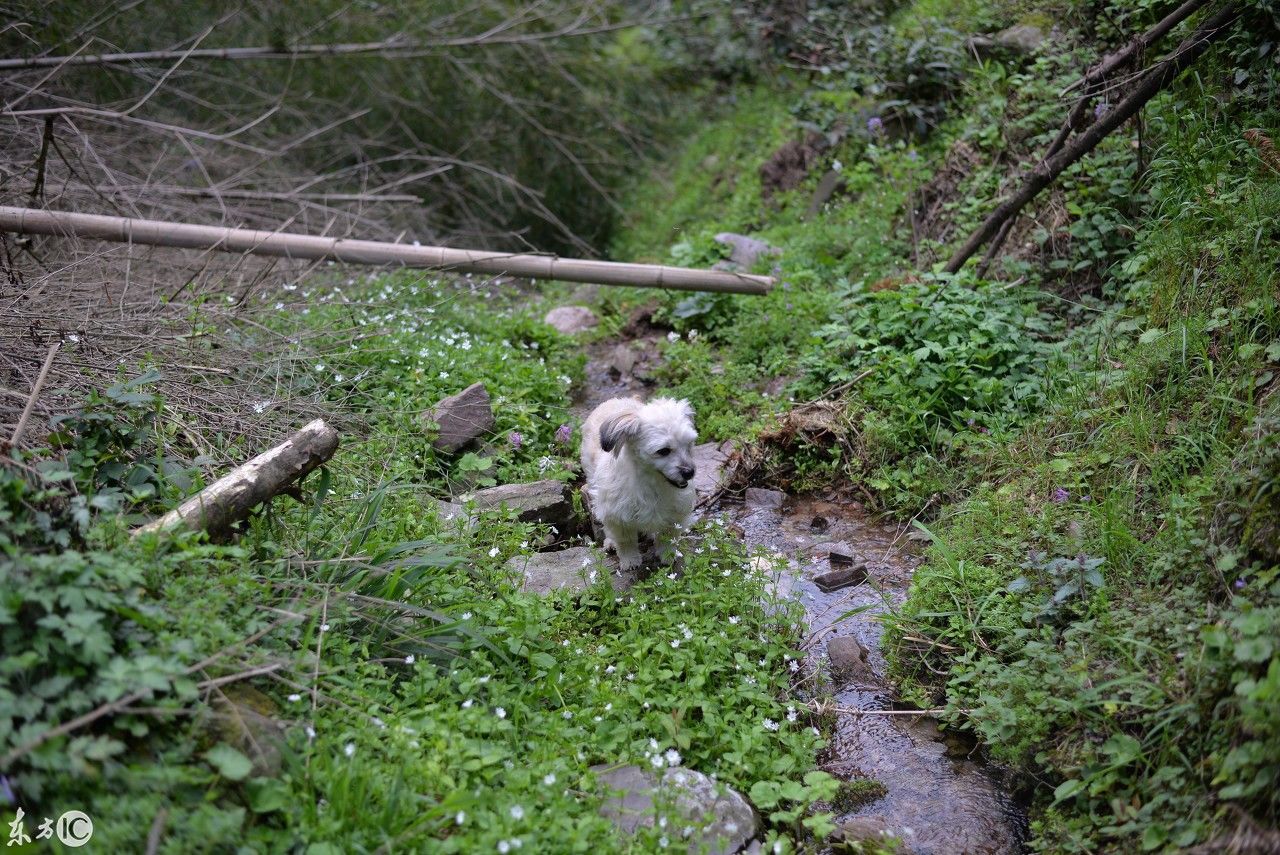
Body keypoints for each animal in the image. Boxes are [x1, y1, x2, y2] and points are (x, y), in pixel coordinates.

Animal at [583, 396, 701, 570]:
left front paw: (667, 556)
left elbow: (668, 537)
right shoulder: (616, 516)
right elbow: (625, 541)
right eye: (663, 451)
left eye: (689, 444)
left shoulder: (675, 514)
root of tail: (615, 400)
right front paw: (630, 560)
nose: (689, 472)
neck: (652, 483)